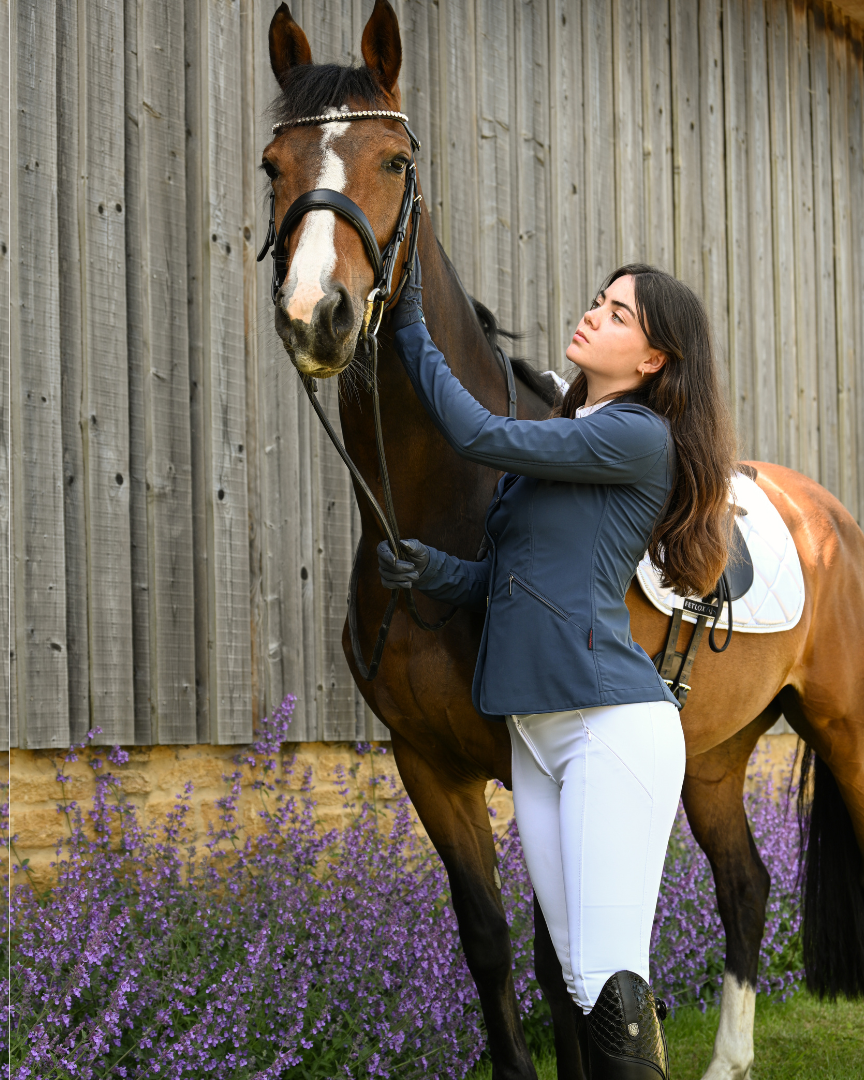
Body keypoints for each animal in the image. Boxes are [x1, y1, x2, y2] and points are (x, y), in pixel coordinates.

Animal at [260, 4, 864, 1078]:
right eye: (271, 165)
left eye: (395, 160)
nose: (316, 314)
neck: (445, 508)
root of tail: (826, 514)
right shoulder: (428, 765)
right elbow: (490, 946)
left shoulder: (533, 755)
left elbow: (563, 963)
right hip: (712, 755)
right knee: (746, 884)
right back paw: (726, 1060)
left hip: (845, 726)